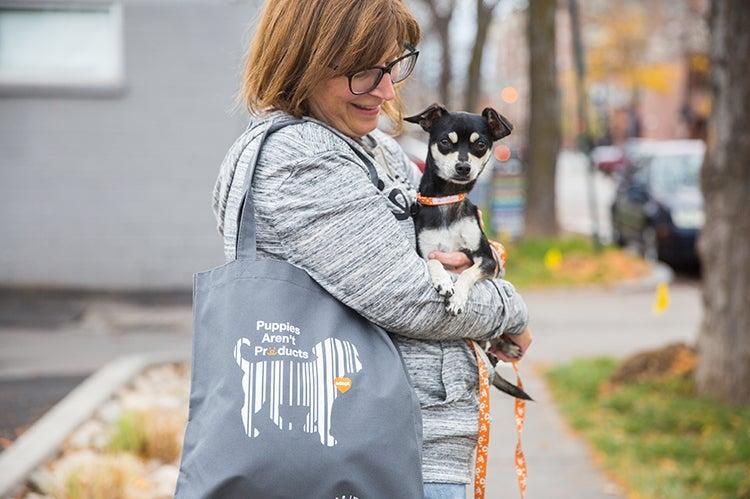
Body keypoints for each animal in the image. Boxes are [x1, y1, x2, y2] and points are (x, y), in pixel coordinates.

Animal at [406, 104, 536, 402]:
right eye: (445, 142)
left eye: (480, 145)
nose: (463, 167)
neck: (447, 200)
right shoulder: (424, 253)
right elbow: (434, 261)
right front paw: (443, 281)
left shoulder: (486, 260)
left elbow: (466, 274)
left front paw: (457, 298)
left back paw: (507, 347)